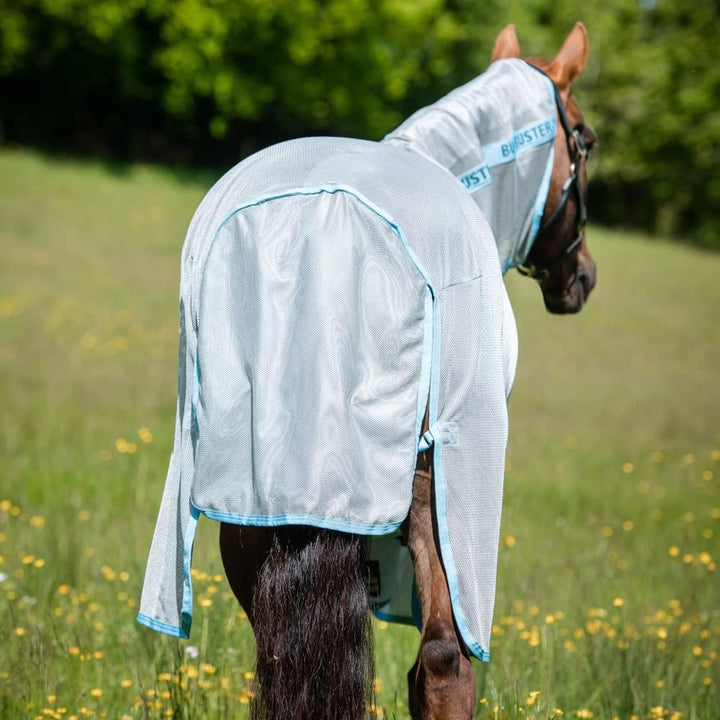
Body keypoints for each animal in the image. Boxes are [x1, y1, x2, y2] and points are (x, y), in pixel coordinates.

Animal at [138, 22, 597, 720]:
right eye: (587, 143)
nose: (583, 278)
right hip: (432, 489)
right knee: (444, 660)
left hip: (248, 507)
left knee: (280, 653)